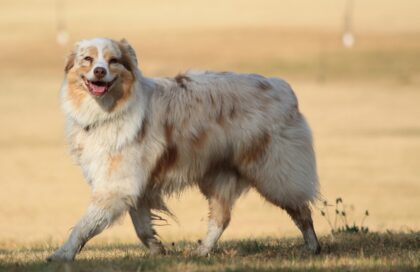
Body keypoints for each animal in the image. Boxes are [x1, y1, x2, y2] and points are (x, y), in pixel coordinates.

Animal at [46, 37, 322, 260]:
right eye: (88, 59)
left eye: (113, 60)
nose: (100, 71)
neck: (109, 110)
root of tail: (282, 87)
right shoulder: (133, 186)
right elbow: (142, 227)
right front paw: (158, 251)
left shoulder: (116, 186)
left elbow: (85, 225)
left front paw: (63, 254)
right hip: (218, 176)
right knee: (221, 218)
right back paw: (202, 251)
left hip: (275, 172)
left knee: (301, 209)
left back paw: (313, 246)